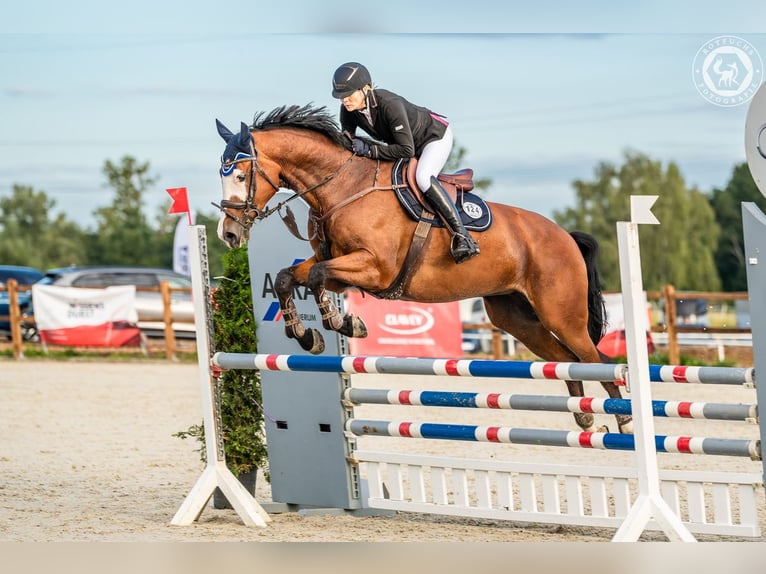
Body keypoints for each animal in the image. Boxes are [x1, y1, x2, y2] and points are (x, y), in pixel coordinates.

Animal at [213, 104, 632, 436]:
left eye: (240, 175)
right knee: (564, 358)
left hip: (561, 313)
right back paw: (584, 418)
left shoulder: (375, 269)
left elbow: (316, 279)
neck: (341, 186)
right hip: (516, 317)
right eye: (222, 173)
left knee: (595, 359)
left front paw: (343, 323)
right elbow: (289, 277)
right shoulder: (335, 264)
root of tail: (563, 235)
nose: (228, 234)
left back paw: (624, 420)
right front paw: (306, 336)